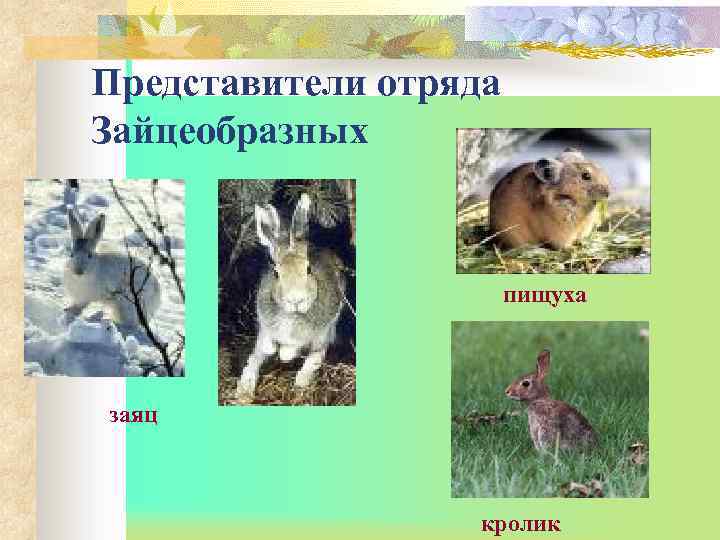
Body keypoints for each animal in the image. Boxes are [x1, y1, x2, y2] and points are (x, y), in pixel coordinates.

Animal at [237, 193, 346, 399]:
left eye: (308, 269)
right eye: (276, 273)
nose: (296, 300)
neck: (290, 315)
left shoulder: (315, 329)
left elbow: (292, 349)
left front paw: (284, 354)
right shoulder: (266, 326)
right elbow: (264, 346)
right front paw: (271, 349)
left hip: (327, 331)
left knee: (318, 353)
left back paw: (302, 381)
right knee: (254, 357)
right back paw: (243, 390)